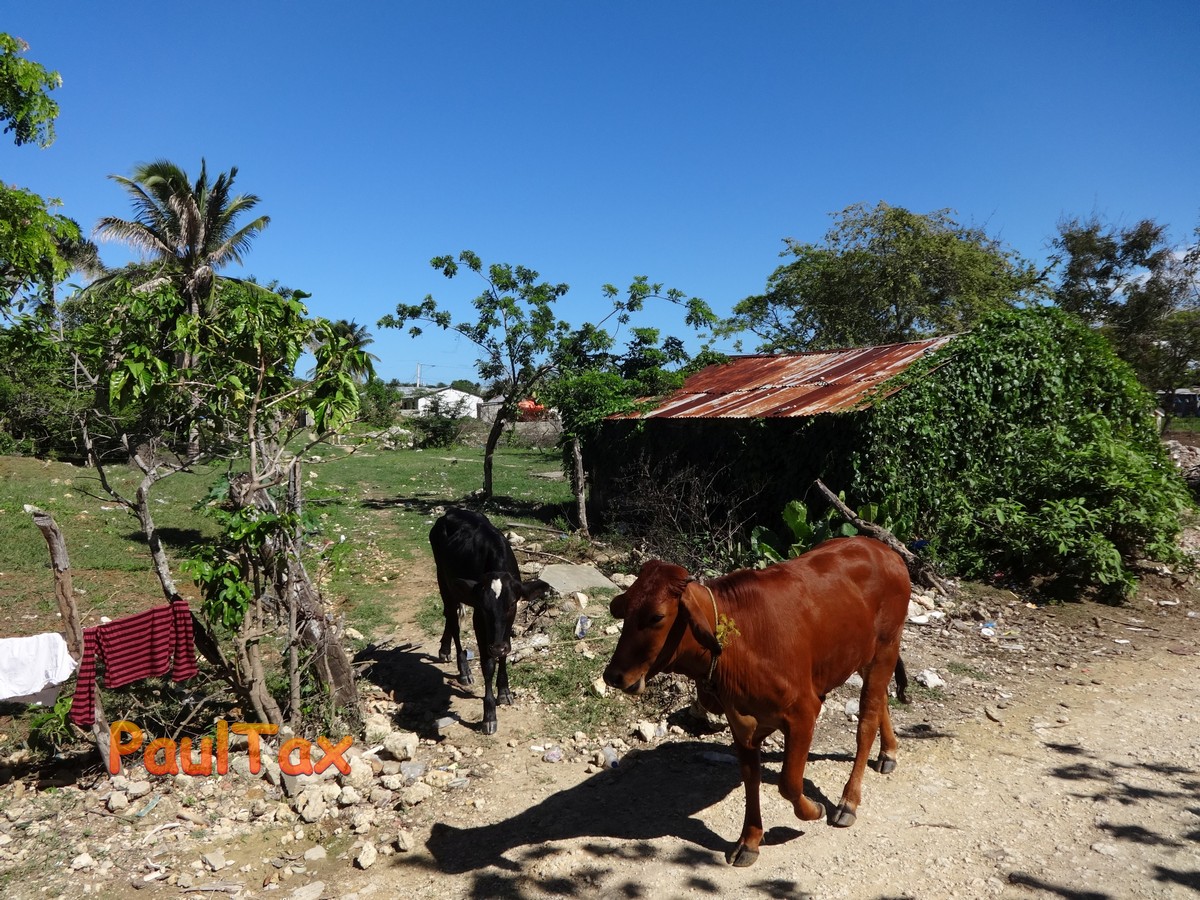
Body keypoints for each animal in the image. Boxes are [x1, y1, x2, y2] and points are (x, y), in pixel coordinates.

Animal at [429, 508, 549, 734]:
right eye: (484, 607)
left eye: (512, 604)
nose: (496, 647)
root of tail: (450, 512)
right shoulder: (479, 619)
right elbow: (488, 664)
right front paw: (489, 714)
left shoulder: (505, 628)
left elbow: (505, 652)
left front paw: (504, 691)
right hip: (443, 578)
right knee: (452, 619)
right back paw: (463, 669)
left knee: (451, 615)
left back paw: (444, 649)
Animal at [604, 535, 902, 868]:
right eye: (625, 610)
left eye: (656, 617)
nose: (613, 676)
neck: (738, 643)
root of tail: (882, 549)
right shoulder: (740, 722)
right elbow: (751, 780)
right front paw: (749, 841)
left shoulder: (804, 713)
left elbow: (789, 783)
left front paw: (813, 810)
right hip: (862, 657)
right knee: (881, 701)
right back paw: (888, 752)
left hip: (886, 648)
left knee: (866, 723)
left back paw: (848, 802)